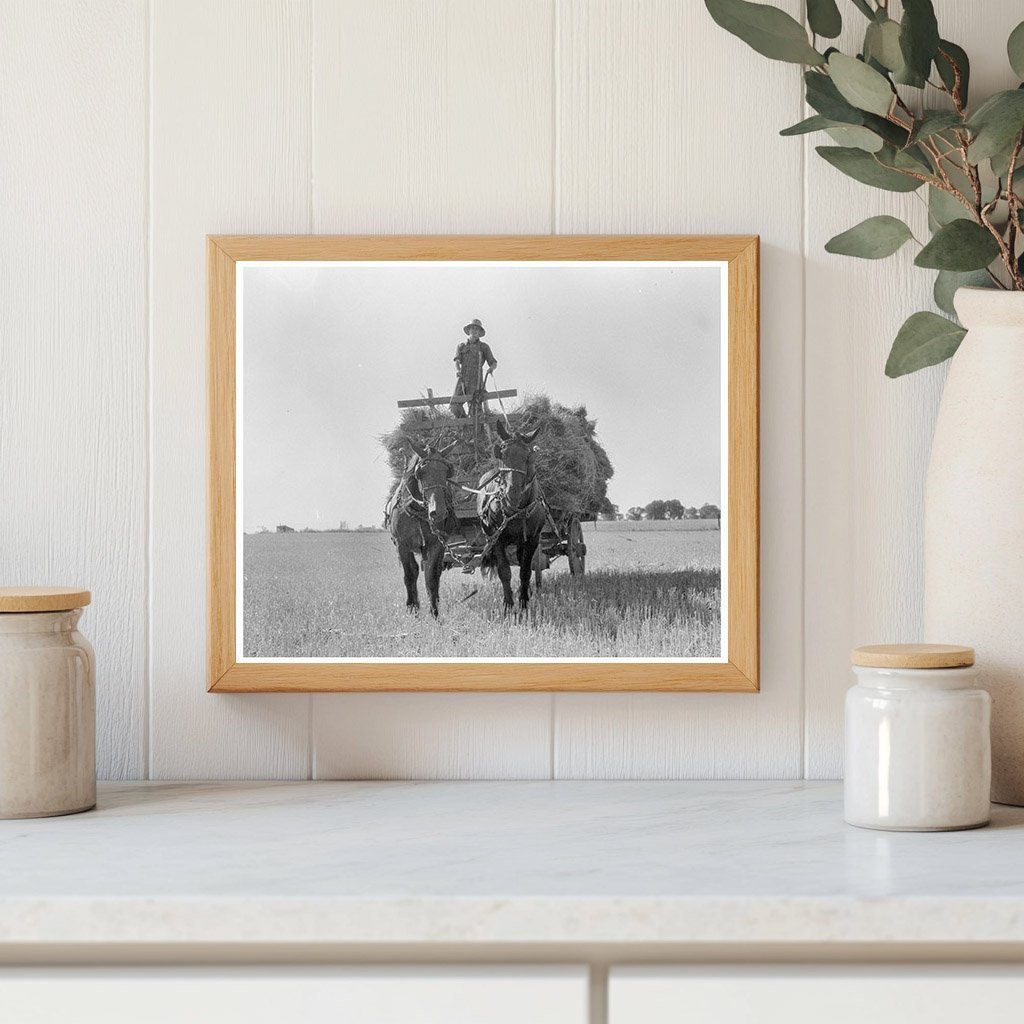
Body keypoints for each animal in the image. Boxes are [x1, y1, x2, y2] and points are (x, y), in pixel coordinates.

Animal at [385, 440, 456, 614]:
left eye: (447, 471)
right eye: (421, 472)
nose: (438, 512)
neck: (416, 511)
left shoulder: (436, 544)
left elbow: (431, 577)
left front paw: (434, 612)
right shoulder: (402, 545)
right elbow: (410, 574)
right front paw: (412, 608)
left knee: (434, 571)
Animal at [477, 419, 548, 610]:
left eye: (528, 457)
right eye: (502, 454)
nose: (512, 496)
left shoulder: (532, 539)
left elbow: (525, 571)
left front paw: (523, 602)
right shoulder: (497, 539)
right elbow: (504, 571)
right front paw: (508, 604)